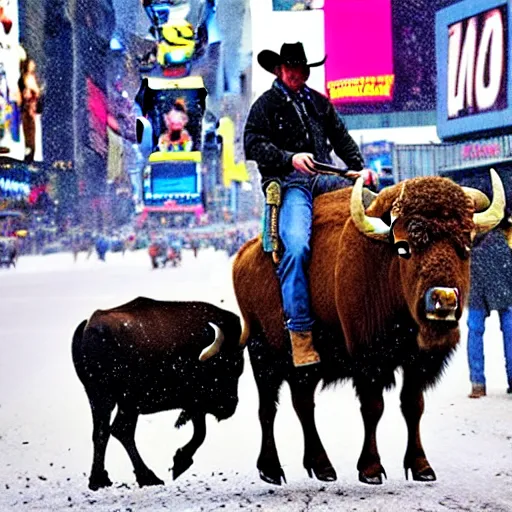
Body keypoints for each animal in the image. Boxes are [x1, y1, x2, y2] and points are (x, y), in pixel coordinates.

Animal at [71, 298, 244, 490]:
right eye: (225, 366)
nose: (230, 406)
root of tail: (89, 328)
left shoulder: (194, 406)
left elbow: (200, 431)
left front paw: (180, 461)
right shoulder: (194, 403)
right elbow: (200, 432)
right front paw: (180, 463)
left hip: (100, 398)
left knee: (102, 433)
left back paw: (99, 480)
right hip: (126, 403)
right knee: (121, 430)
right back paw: (148, 477)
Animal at [234, 170, 506, 486]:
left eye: (466, 244)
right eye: (403, 247)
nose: (444, 300)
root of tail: (243, 256)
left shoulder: (417, 362)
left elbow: (413, 405)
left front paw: (422, 467)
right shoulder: (369, 361)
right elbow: (373, 408)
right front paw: (371, 469)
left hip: (304, 368)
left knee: (303, 405)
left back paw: (322, 467)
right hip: (262, 354)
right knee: (268, 408)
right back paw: (271, 470)